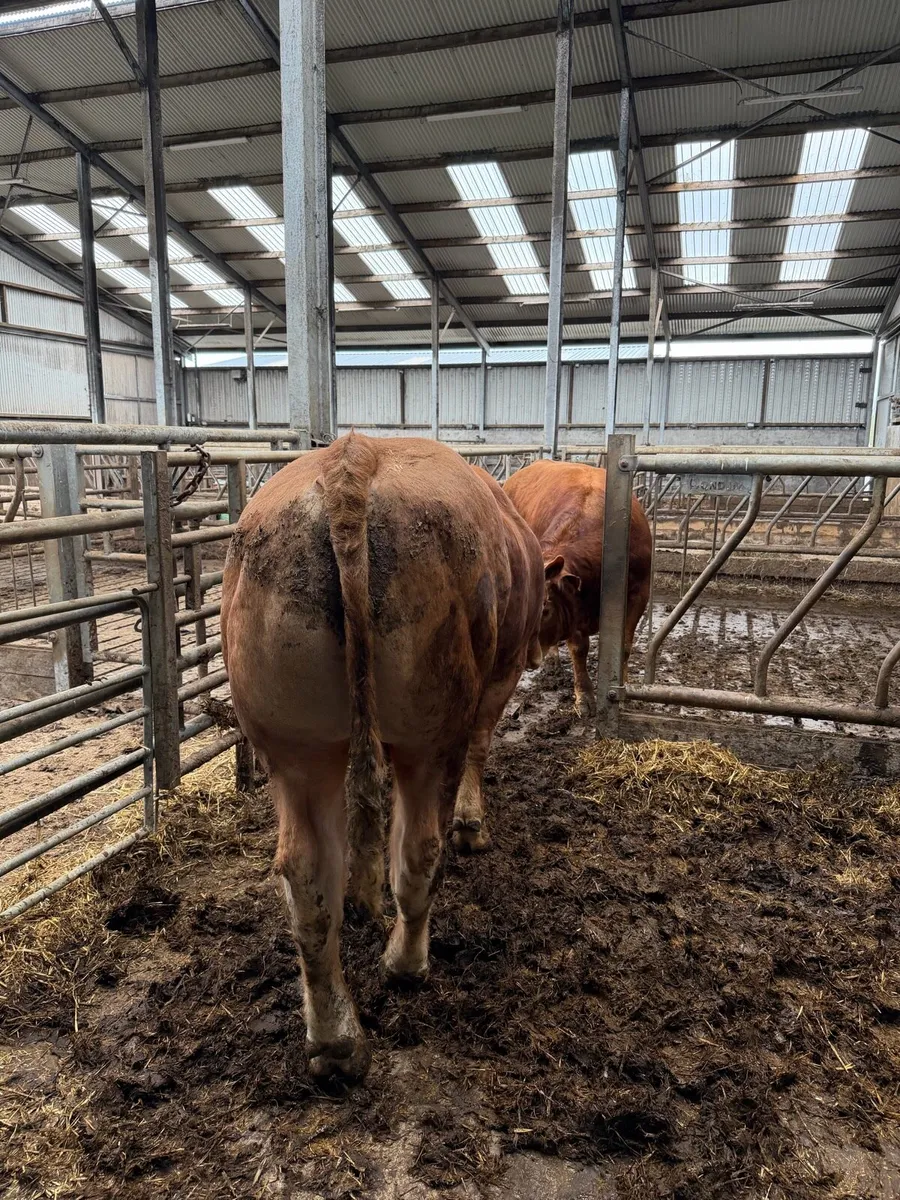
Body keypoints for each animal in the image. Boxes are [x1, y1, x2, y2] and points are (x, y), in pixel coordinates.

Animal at [221, 432, 544, 1080]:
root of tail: (354, 459)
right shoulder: (499, 679)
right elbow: (479, 750)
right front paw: (473, 827)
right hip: (430, 732)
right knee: (419, 851)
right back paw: (406, 964)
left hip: (297, 745)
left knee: (308, 874)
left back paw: (336, 1042)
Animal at [503, 459, 652, 718]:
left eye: (545, 609)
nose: (521, 658)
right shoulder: (575, 610)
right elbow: (579, 649)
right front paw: (585, 697)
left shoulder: (639, 594)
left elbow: (624, 647)